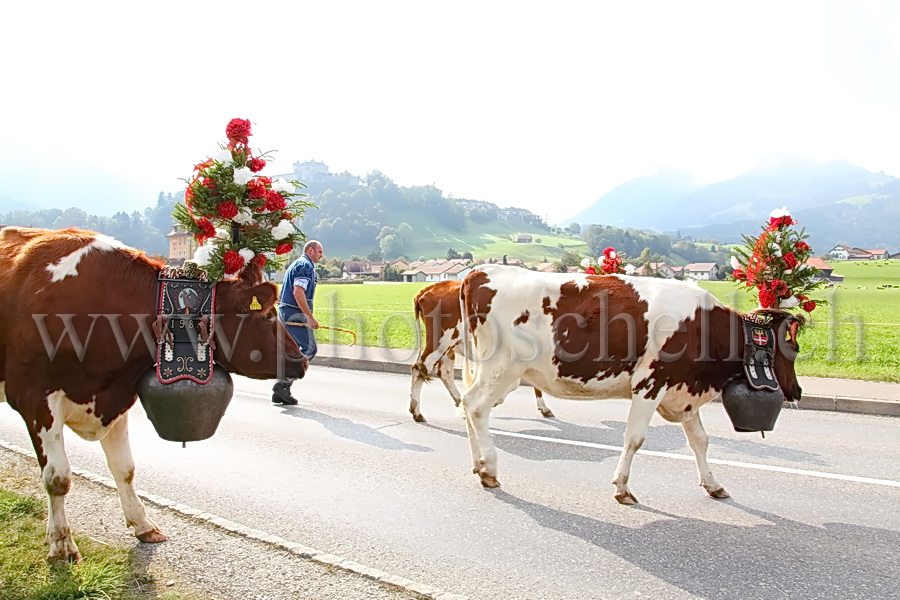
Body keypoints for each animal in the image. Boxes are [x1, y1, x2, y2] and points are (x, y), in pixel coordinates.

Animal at [0, 226, 308, 564]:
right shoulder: (34, 398)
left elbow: (125, 469)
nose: (302, 359)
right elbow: (58, 479)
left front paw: (143, 525)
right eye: (267, 316)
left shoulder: (116, 396)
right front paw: (61, 545)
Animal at [410, 280, 556, 422]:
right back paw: (416, 412)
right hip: (440, 341)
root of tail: (429, 288)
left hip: (448, 347)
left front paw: (544, 408)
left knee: (444, 372)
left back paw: (459, 402)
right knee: (420, 368)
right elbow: (517, 383)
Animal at [460, 264, 800, 504]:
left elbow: (700, 441)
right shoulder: (651, 383)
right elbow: (634, 439)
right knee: (475, 406)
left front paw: (713, 484)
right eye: (793, 349)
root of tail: (481, 272)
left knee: (467, 405)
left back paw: (477, 464)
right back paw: (489, 468)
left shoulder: (683, 391)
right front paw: (622, 488)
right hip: (501, 369)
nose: (797, 391)